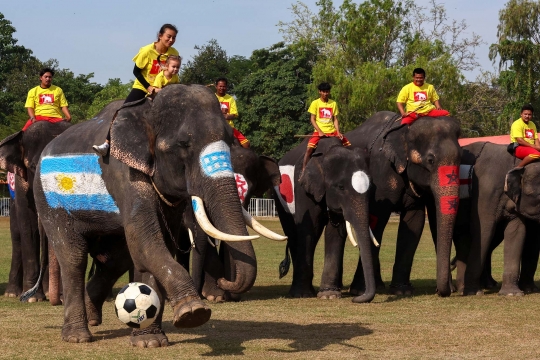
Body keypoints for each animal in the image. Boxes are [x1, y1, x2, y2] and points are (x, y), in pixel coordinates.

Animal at [0, 121, 71, 300]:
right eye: (33, 167)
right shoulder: (21, 184)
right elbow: (29, 228)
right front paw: (32, 297)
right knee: (17, 235)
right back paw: (13, 293)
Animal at [24, 84, 280, 346]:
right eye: (183, 143)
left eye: (229, 141)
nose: (224, 281)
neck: (148, 110)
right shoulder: (122, 172)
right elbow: (146, 240)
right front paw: (193, 313)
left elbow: (156, 244)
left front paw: (150, 341)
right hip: (49, 202)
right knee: (74, 257)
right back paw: (77, 337)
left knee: (116, 259)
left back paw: (93, 319)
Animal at [270, 136, 376, 302]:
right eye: (341, 187)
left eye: (371, 188)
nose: (355, 298)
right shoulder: (303, 187)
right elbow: (310, 228)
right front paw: (302, 295)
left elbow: (335, 232)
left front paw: (329, 295)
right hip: (280, 200)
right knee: (293, 234)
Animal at [346, 112, 460, 296]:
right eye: (430, 160)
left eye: (461, 157)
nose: (448, 291)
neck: (404, 128)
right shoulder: (381, 172)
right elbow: (377, 218)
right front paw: (358, 291)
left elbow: (414, 222)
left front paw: (402, 291)